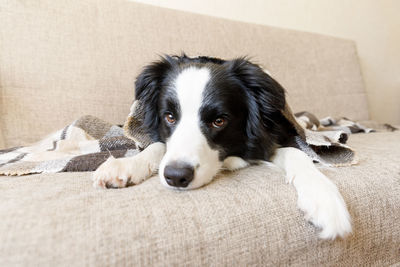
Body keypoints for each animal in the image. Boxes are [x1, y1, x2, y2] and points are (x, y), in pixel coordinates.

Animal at [92, 54, 352, 241]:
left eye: (219, 121)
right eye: (169, 117)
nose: (176, 177)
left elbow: (298, 153)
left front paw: (324, 199)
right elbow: (157, 145)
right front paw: (125, 166)